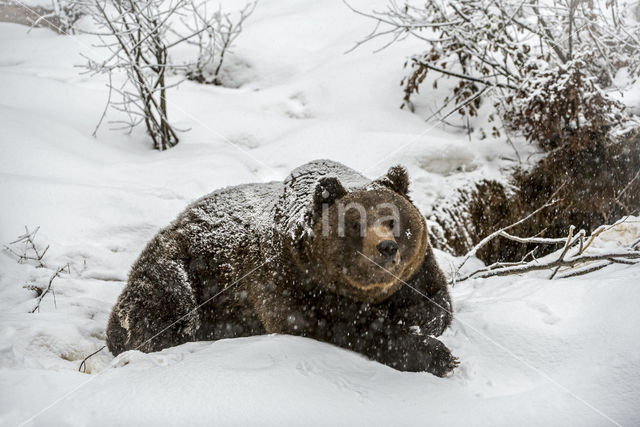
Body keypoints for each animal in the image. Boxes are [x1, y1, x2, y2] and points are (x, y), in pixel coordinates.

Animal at [105, 160, 458, 378]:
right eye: (355, 224)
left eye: (392, 220)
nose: (385, 248)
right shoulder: (293, 286)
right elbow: (349, 329)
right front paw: (437, 355)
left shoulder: (420, 269)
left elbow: (436, 302)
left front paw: (422, 322)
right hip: (179, 267)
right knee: (164, 309)